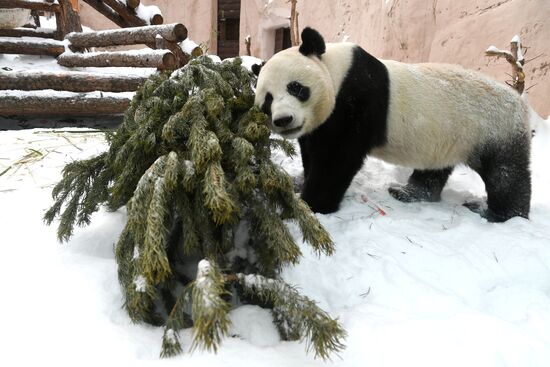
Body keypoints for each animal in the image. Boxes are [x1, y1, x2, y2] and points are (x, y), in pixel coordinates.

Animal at [252, 27, 532, 223]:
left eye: (296, 87)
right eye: (268, 99)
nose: (283, 120)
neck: (335, 70)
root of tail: (520, 103)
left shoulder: (356, 100)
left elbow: (337, 158)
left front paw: (312, 205)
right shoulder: (320, 124)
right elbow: (312, 151)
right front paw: (300, 183)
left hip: (493, 129)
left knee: (505, 174)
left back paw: (496, 213)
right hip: (448, 137)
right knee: (434, 170)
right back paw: (408, 192)